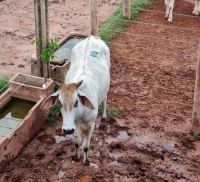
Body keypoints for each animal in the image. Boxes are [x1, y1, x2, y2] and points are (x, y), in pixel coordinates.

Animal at [41, 35, 110, 165]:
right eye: (60, 103)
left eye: (76, 102)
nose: (67, 130)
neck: (80, 114)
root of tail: (92, 37)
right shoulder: (74, 126)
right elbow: (77, 143)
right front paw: (76, 157)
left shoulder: (90, 125)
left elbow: (86, 146)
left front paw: (86, 161)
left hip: (106, 87)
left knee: (104, 100)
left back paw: (104, 119)